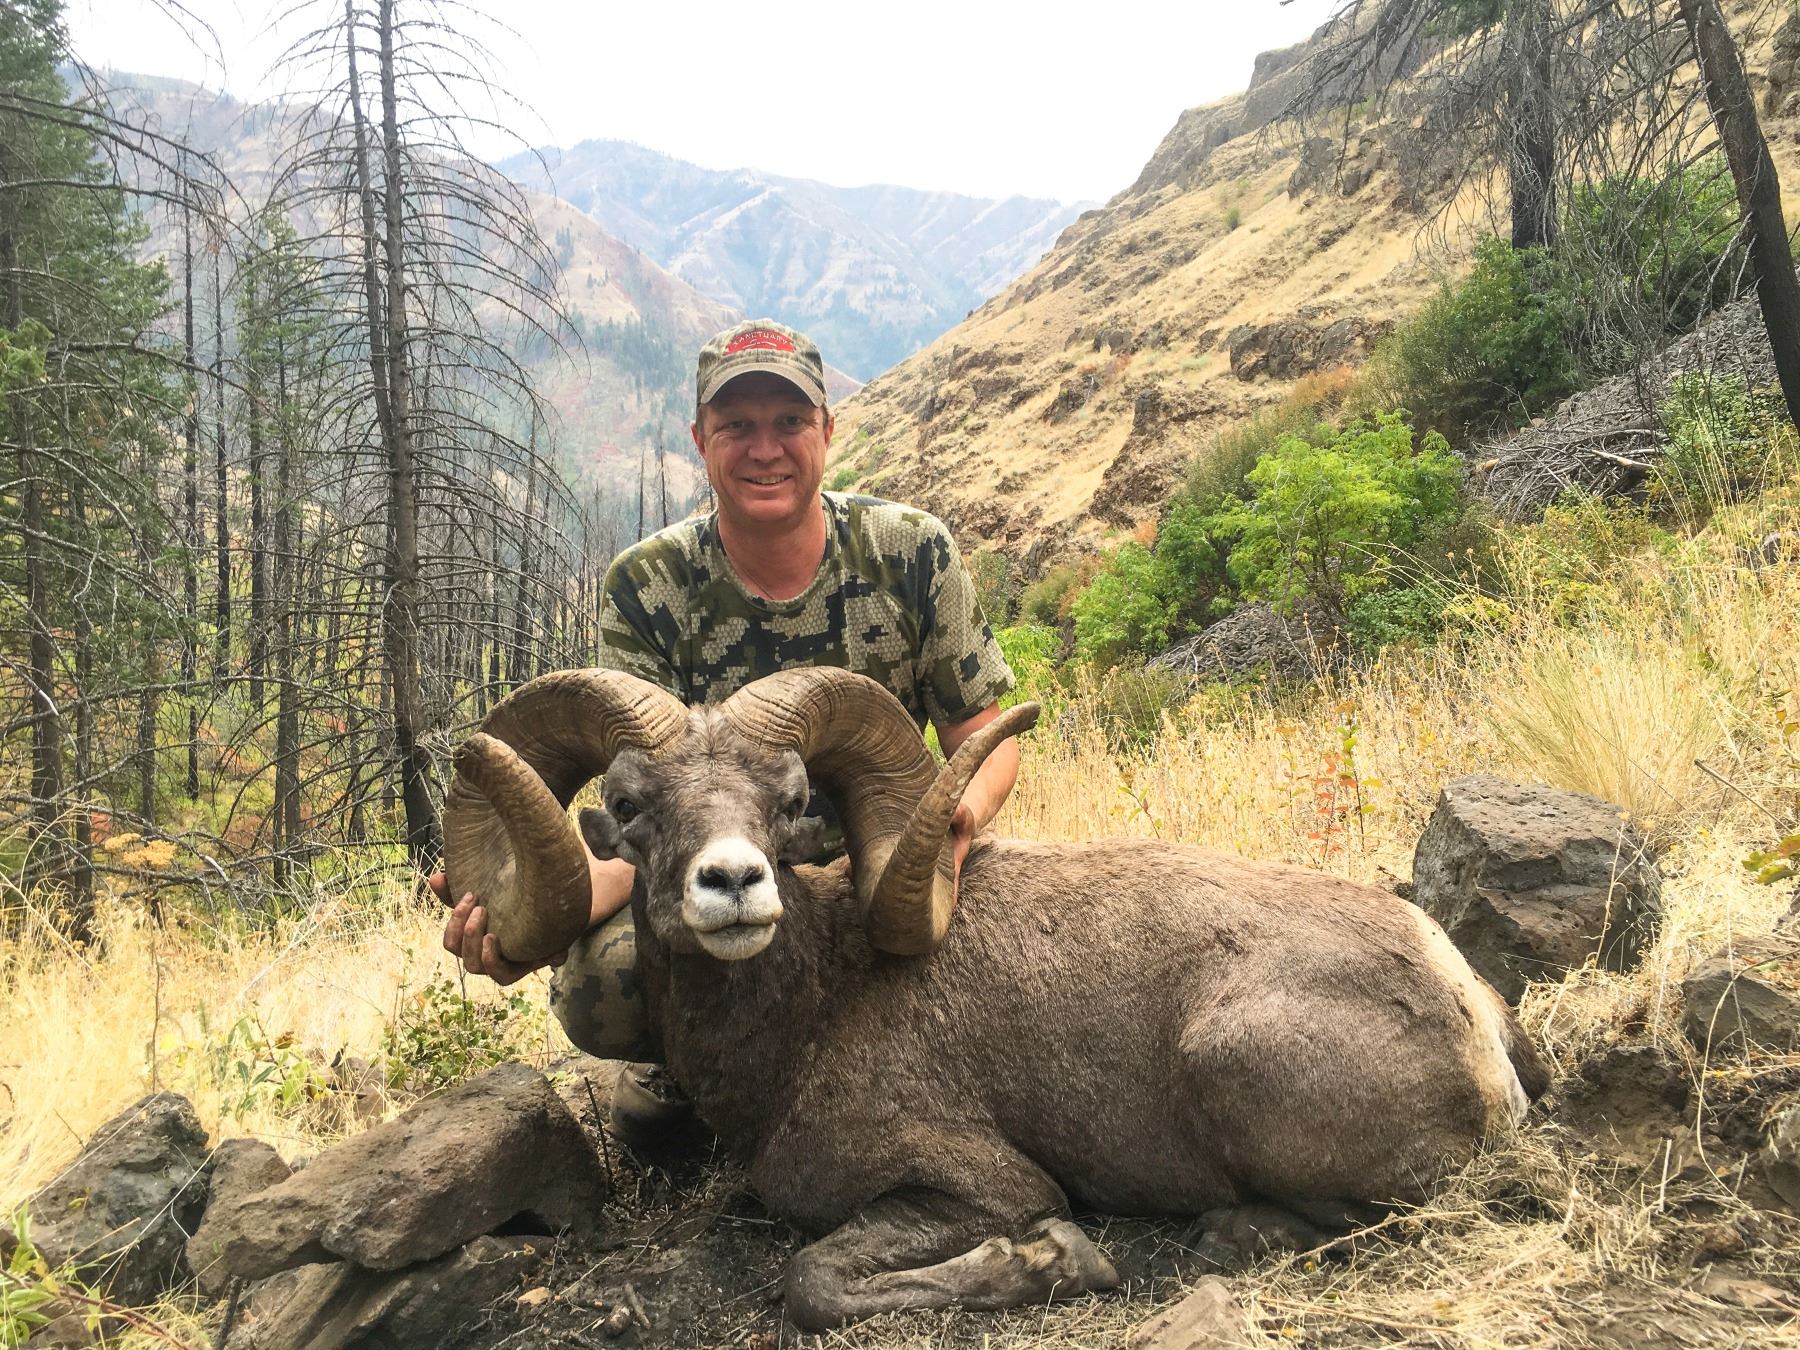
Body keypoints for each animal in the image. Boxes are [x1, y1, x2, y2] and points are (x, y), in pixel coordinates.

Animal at [443, 666, 1549, 1329]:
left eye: (789, 803)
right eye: (630, 807)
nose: (733, 883)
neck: (809, 1017)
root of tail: (1468, 1007)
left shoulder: (979, 1189)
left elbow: (813, 1282)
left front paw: (1058, 1263)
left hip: (1233, 1068)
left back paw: (1231, 1235)